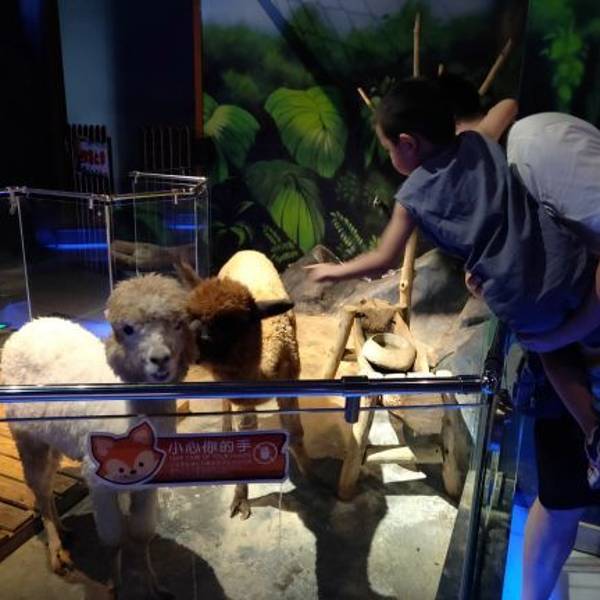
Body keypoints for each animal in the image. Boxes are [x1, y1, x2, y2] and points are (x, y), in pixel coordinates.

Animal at [1, 273, 195, 598]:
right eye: (127, 329)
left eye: (178, 324)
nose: (160, 359)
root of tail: (29, 325)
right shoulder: (98, 480)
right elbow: (114, 537)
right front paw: (113, 584)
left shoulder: (150, 479)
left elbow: (141, 533)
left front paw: (154, 584)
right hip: (26, 435)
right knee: (39, 486)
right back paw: (57, 552)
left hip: (52, 436)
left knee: (48, 484)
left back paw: (63, 530)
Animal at [178, 250, 310, 520]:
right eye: (190, 316)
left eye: (229, 323)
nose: (188, 345)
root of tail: (246, 251)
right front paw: (240, 499)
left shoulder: (291, 380)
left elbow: (295, 431)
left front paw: (314, 480)